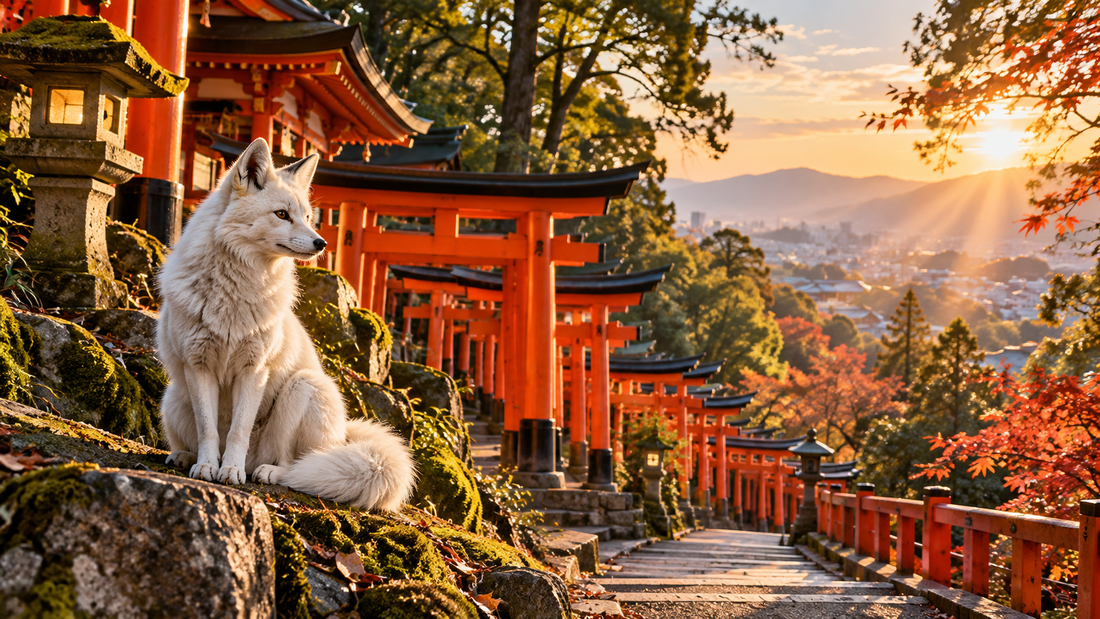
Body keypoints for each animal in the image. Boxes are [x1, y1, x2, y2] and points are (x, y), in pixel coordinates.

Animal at [156, 137, 416, 511]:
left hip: (302, 386)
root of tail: (344, 434)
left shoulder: (254, 369)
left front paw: (229, 471)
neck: (233, 290)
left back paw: (263, 471)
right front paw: (207, 467)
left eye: (306, 217)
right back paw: (186, 457)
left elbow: (237, 430)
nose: (321, 243)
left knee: (293, 464)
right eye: (282, 214)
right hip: (174, 397)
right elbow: (210, 429)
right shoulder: (198, 365)